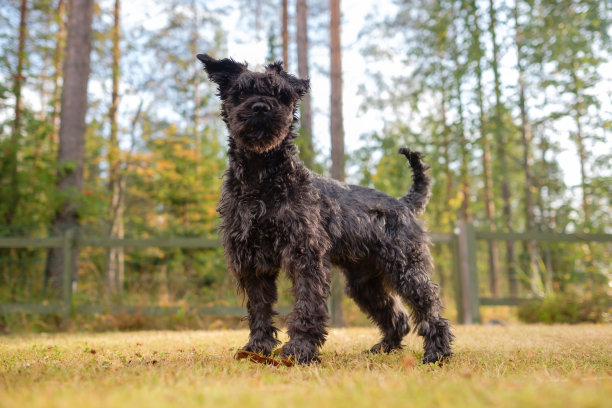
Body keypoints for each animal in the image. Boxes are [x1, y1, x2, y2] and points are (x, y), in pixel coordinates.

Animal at [198, 53, 452, 364]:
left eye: (280, 94)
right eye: (241, 92)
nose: (260, 107)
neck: (261, 179)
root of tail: (404, 203)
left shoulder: (305, 254)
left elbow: (307, 306)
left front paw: (299, 349)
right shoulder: (251, 260)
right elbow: (259, 308)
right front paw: (257, 348)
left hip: (406, 269)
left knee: (429, 308)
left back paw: (437, 352)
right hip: (364, 282)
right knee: (397, 316)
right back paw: (384, 347)